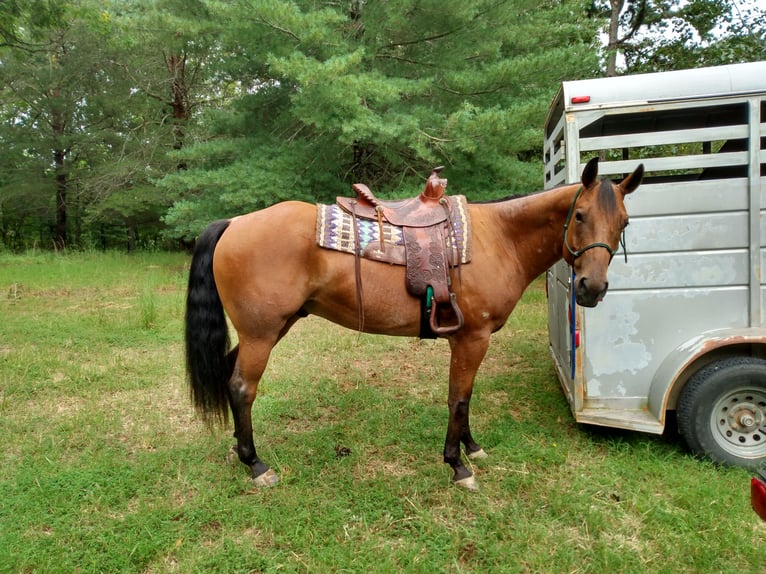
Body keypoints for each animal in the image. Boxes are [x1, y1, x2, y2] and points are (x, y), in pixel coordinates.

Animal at [184, 157, 644, 490]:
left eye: (623, 222)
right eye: (580, 215)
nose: (592, 288)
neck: (500, 238)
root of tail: (234, 223)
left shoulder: (467, 341)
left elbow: (466, 397)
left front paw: (471, 448)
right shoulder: (472, 339)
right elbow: (458, 398)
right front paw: (457, 465)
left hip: (269, 330)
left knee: (230, 375)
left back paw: (238, 451)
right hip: (261, 334)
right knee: (242, 388)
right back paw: (256, 464)